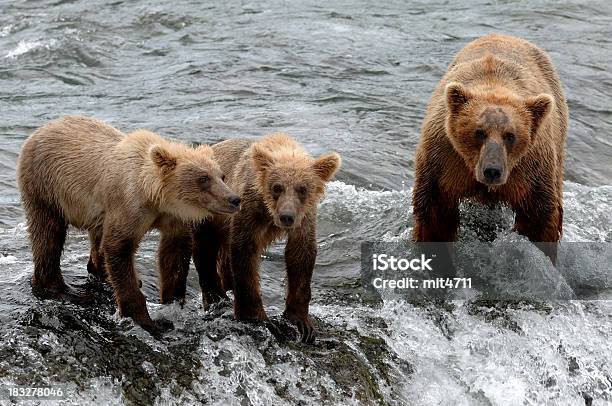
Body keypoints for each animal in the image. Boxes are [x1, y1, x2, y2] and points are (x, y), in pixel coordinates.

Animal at [414, 35, 568, 264]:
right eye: (479, 132)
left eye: (510, 135)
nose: (492, 171)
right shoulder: (445, 159)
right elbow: (435, 211)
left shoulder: (530, 168)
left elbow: (539, 215)